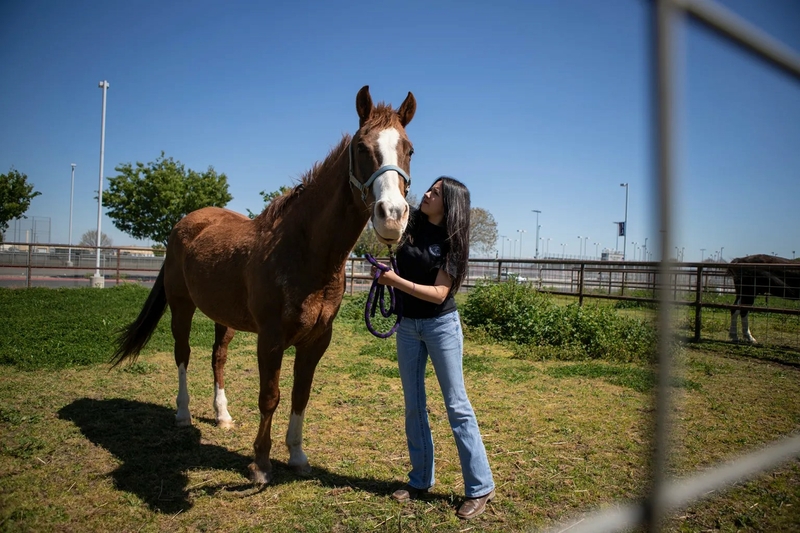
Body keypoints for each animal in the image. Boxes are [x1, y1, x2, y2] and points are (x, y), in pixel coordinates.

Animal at [110, 85, 416, 485]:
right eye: (362, 147)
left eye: (409, 149)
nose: (392, 216)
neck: (304, 250)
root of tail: (184, 224)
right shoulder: (270, 339)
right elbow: (269, 396)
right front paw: (260, 464)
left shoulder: (317, 340)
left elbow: (301, 394)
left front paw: (297, 456)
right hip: (182, 307)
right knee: (183, 354)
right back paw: (183, 414)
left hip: (222, 317)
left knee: (218, 357)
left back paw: (222, 416)